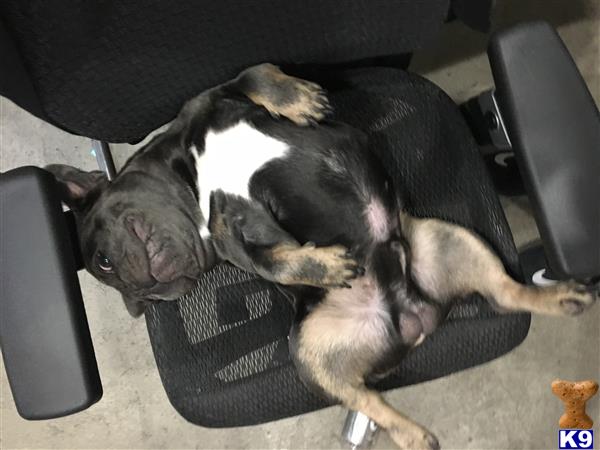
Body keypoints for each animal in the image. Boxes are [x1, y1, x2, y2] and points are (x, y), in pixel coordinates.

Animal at [48, 64, 600, 450]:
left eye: (103, 261)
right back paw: (409, 433)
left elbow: (251, 74)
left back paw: (559, 298)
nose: (142, 295)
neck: (190, 178)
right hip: (310, 353)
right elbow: (270, 259)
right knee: (366, 395)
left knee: (505, 291)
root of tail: (414, 319)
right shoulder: (234, 234)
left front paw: (296, 99)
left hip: (449, 238)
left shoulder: (208, 101)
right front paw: (325, 265)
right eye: (128, 291)